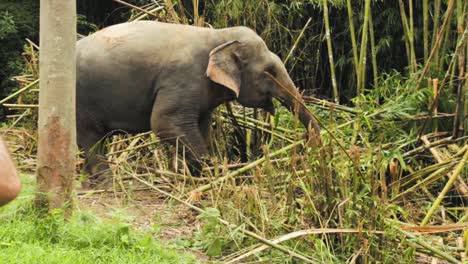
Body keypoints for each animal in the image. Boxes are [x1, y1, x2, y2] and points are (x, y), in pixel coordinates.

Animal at [76, 21, 322, 177]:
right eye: (270, 71)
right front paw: (212, 173)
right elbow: (164, 122)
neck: (220, 37)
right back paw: (106, 182)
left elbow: (202, 127)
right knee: (92, 140)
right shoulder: (183, 78)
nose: (307, 142)